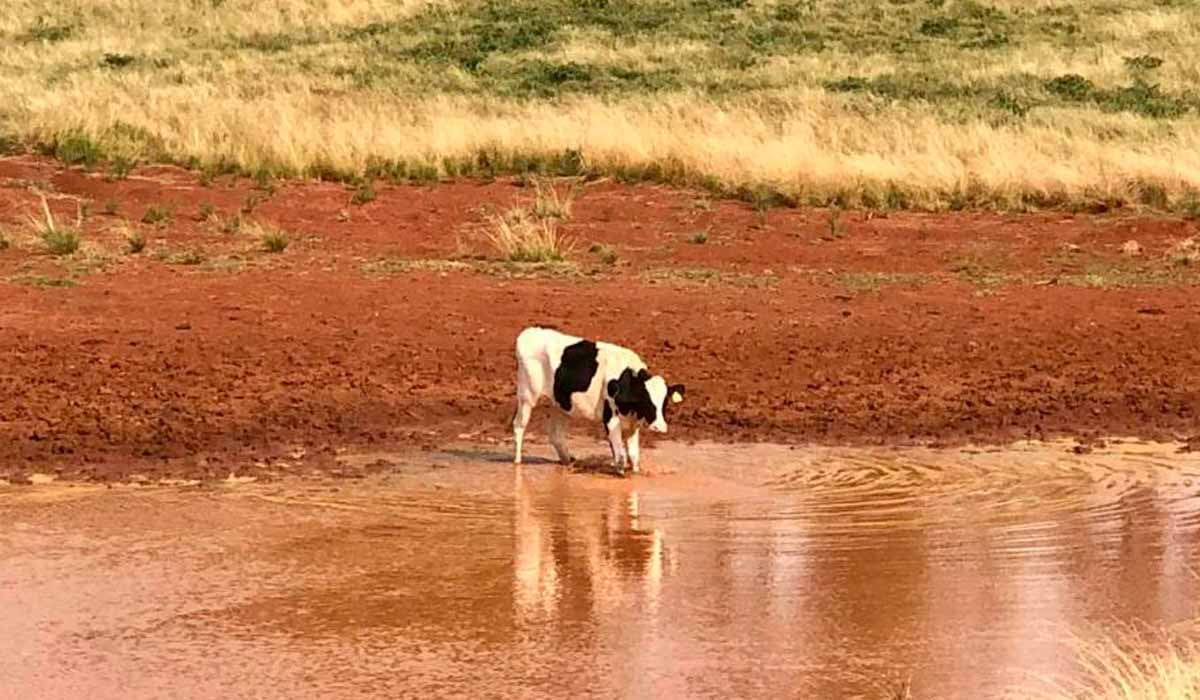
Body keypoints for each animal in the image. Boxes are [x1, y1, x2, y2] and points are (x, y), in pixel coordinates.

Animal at [513, 326, 686, 473]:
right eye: (645, 399)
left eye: (665, 402)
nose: (659, 427)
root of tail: (529, 332)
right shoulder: (610, 416)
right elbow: (620, 456)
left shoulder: (632, 422)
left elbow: (634, 456)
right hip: (527, 395)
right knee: (519, 425)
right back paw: (517, 461)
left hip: (561, 404)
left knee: (556, 435)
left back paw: (568, 462)